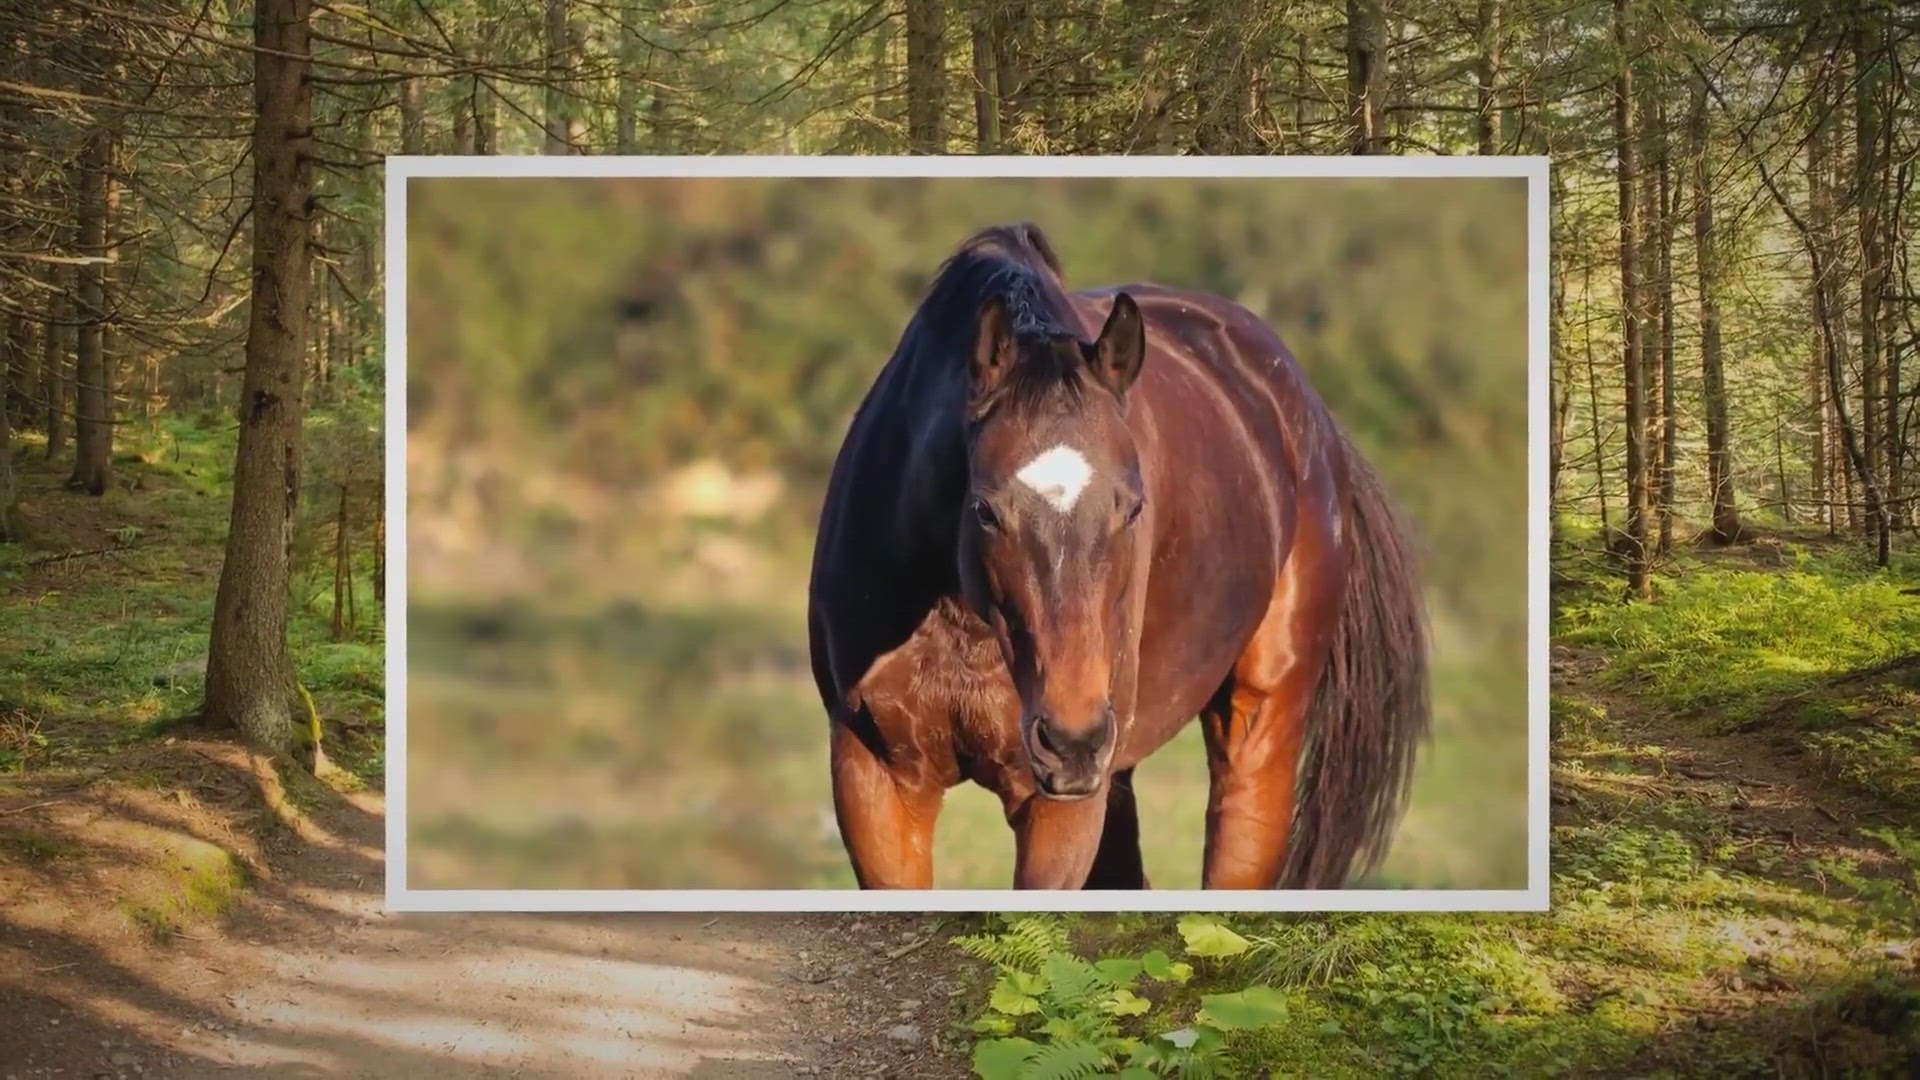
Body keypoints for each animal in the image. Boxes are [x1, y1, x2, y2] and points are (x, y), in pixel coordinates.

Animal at [806, 223, 1429, 890]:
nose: (1071, 740)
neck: (961, 623)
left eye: (1133, 509)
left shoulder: (1059, 804)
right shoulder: (875, 778)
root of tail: (1310, 416)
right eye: (985, 510)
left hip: (1255, 729)